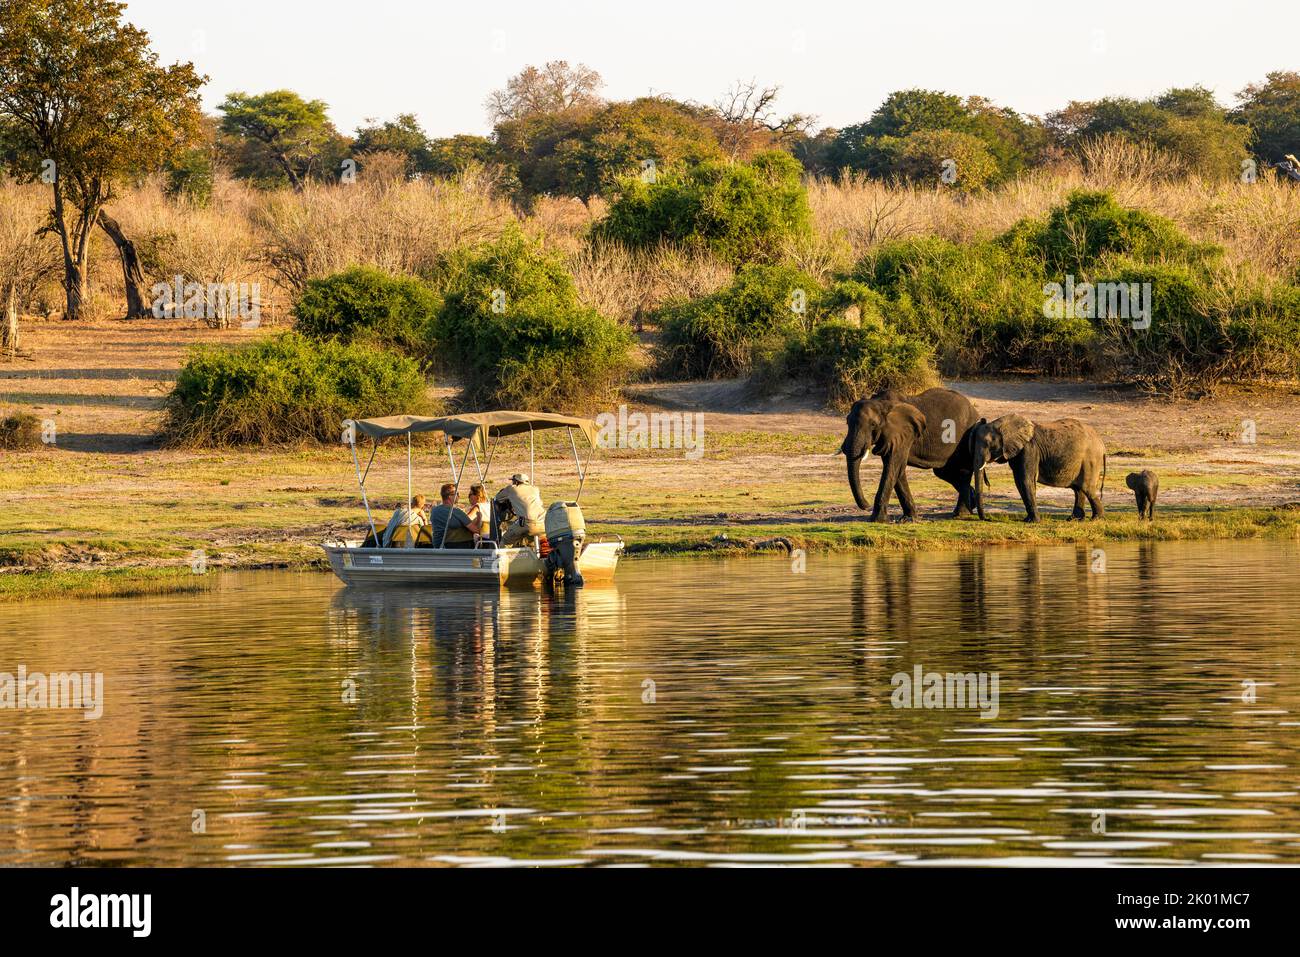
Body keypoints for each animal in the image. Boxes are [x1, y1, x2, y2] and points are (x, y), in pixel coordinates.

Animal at [842, 387, 977, 522]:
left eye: (873, 425)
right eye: (847, 422)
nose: (866, 505)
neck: (880, 402)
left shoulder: (904, 434)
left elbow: (892, 467)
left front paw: (877, 520)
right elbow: (897, 470)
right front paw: (908, 518)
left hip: (967, 436)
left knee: (963, 472)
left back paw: (960, 513)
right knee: (945, 472)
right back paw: (971, 503)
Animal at [972, 416, 1102, 522]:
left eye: (988, 443)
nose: (987, 519)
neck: (1002, 423)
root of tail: (1100, 441)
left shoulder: (1029, 449)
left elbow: (1026, 480)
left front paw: (1033, 521)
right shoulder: (1017, 452)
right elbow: (1019, 482)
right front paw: (1027, 519)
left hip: (1091, 460)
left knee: (1087, 488)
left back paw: (1096, 519)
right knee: (1079, 490)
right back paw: (1074, 519)